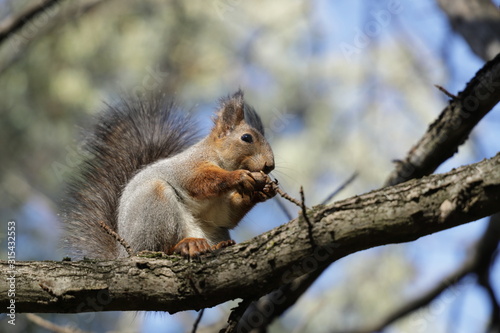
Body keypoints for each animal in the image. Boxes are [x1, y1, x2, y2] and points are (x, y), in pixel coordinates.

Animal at [61, 91, 278, 260]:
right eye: (246, 138)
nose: (270, 165)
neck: (216, 156)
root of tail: (124, 253)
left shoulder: (217, 209)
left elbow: (225, 214)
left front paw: (263, 191)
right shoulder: (188, 167)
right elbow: (200, 181)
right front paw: (239, 176)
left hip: (212, 230)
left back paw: (216, 245)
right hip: (154, 203)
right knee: (159, 249)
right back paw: (184, 246)